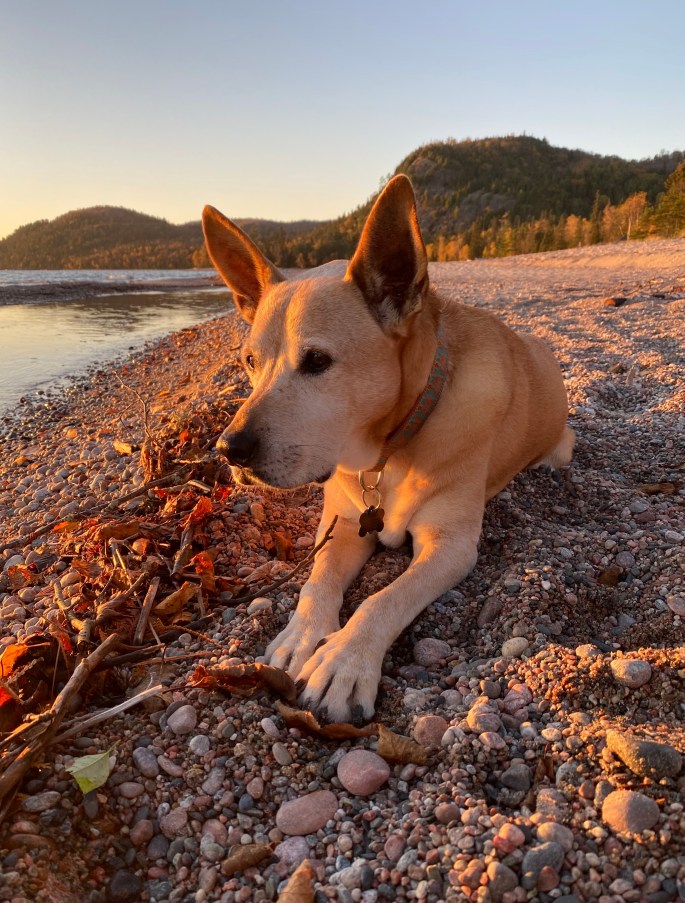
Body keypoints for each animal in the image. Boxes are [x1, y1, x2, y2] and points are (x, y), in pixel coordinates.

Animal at [202, 175, 574, 723]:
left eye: (317, 361)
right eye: (250, 361)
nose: (229, 450)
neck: (386, 453)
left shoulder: (450, 545)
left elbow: (383, 599)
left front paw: (345, 660)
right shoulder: (340, 522)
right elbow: (317, 581)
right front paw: (300, 635)